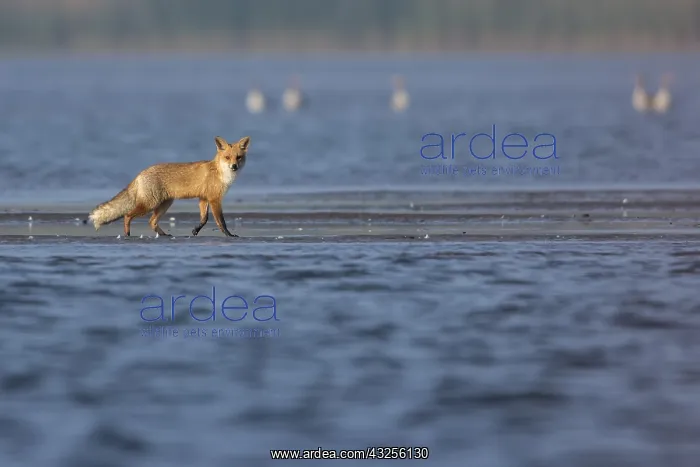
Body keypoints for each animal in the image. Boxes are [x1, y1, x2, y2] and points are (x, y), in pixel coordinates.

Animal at [88, 135, 250, 238]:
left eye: (239, 157)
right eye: (227, 157)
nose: (234, 166)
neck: (220, 172)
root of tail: (141, 173)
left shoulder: (203, 199)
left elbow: (204, 219)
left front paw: (195, 231)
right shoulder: (214, 199)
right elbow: (221, 221)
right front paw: (229, 235)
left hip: (164, 204)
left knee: (151, 222)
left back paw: (164, 235)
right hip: (149, 204)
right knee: (128, 215)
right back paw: (127, 234)